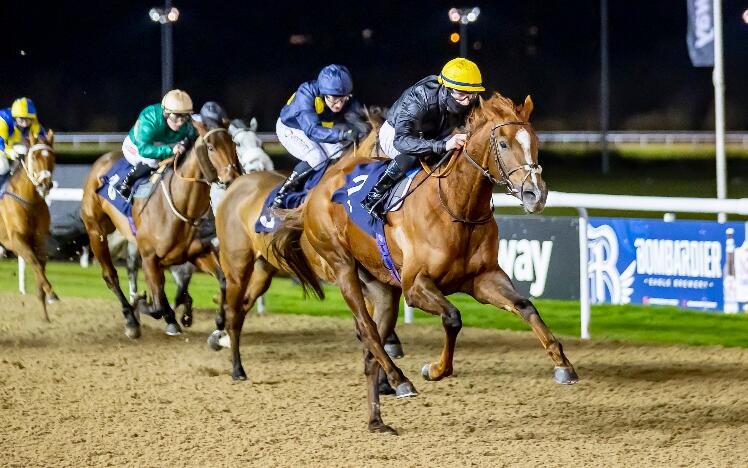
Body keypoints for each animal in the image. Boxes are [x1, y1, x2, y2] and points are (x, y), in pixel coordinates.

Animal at [0, 132, 57, 322]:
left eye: (53, 157)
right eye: (34, 156)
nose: (45, 184)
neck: (29, 201)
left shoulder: (40, 240)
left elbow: (39, 267)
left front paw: (45, 313)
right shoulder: (16, 240)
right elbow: (36, 264)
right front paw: (51, 292)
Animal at [82, 122, 240, 338]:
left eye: (233, 145)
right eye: (210, 148)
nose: (233, 178)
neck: (182, 207)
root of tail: (101, 161)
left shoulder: (197, 252)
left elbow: (222, 280)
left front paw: (218, 322)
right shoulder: (149, 257)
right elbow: (156, 305)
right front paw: (147, 306)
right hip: (96, 231)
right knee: (111, 276)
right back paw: (131, 319)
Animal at [274, 93, 580, 434]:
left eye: (535, 141)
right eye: (502, 143)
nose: (535, 194)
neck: (457, 208)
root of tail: (318, 189)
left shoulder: (482, 279)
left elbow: (525, 306)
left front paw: (563, 365)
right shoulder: (415, 286)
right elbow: (453, 318)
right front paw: (433, 369)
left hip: (382, 288)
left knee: (371, 346)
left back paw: (377, 421)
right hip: (343, 267)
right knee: (367, 330)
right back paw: (399, 380)